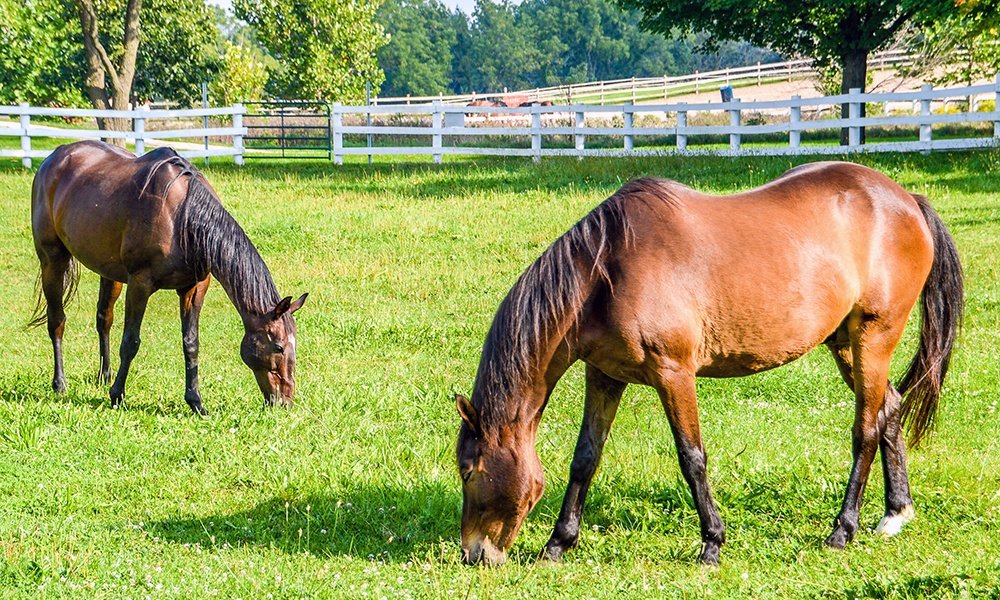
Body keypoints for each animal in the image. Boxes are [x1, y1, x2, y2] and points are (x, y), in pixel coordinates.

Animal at [29, 140, 306, 412]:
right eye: (279, 347)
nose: (284, 403)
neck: (182, 218)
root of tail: (54, 157)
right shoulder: (140, 284)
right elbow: (130, 342)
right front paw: (117, 396)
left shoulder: (194, 288)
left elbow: (191, 343)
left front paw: (195, 401)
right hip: (52, 260)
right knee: (57, 321)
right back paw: (60, 383)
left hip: (109, 272)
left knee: (104, 319)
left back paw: (104, 375)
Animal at [458, 162, 964, 564]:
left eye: (469, 470)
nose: (473, 554)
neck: (606, 271)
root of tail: (908, 201)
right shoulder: (604, 375)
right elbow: (586, 458)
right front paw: (558, 544)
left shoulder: (674, 373)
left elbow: (692, 458)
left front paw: (712, 543)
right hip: (844, 344)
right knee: (889, 408)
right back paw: (895, 513)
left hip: (873, 337)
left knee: (865, 431)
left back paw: (843, 529)